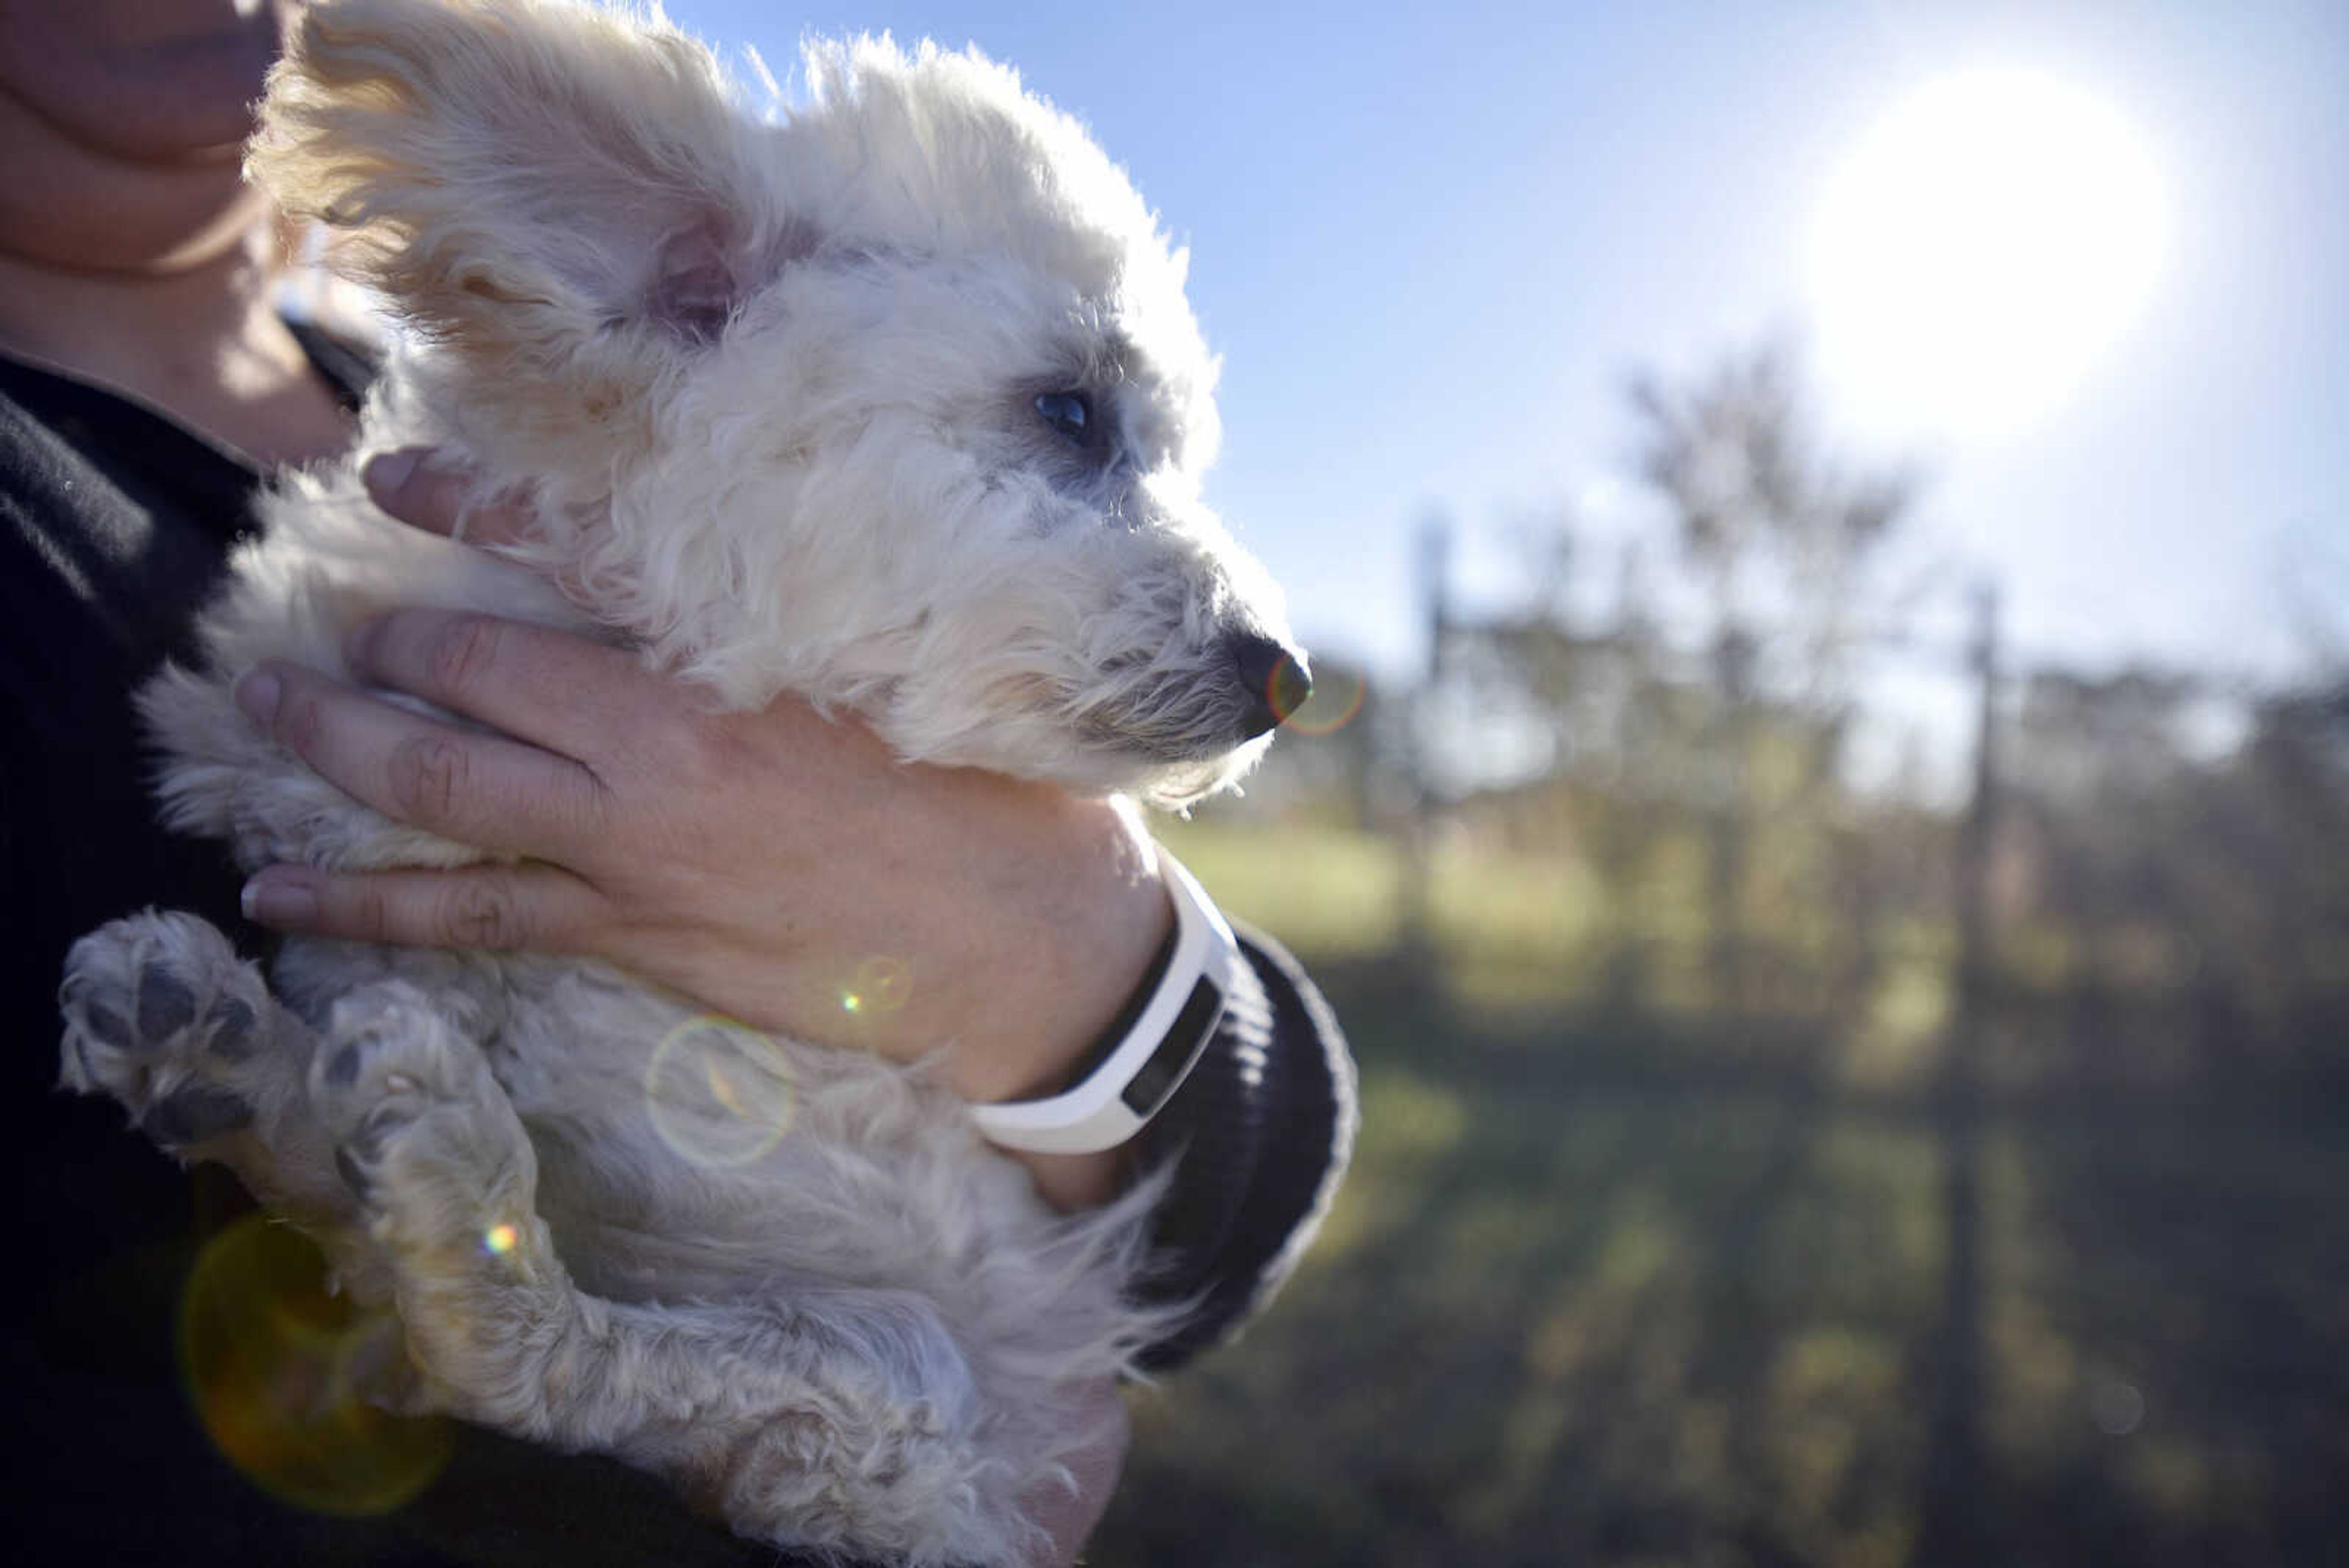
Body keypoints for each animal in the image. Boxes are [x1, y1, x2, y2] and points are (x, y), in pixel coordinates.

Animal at [50, 3, 1306, 1568]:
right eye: (1069, 413)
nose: (1287, 673)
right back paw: (238, 1067)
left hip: (901, 1400)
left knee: (530, 1366)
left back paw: (427, 1182)